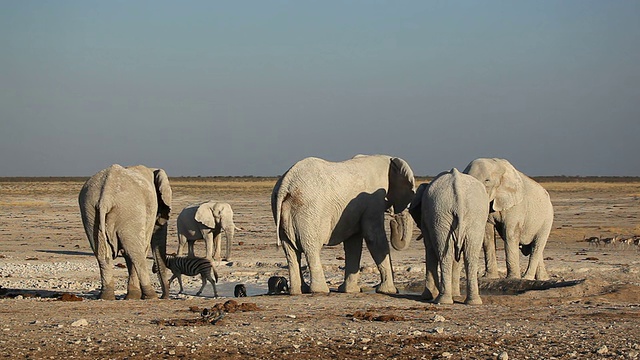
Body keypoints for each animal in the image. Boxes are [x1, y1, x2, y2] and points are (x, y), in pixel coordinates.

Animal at [78, 165, 172, 300]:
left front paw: (132, 296)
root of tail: (106, 196)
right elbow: (140, 248)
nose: (163, 297)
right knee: (135, 253)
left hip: (89, 210)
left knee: (101, 253)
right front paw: (135, 296)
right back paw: (151, 296)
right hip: (130, 210)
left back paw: (106, 297)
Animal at [270, 153, 416, 294]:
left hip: (283, 212)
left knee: (290, 251)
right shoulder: (374, 201)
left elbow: (353, 243)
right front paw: (389, 291)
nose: (393, 221)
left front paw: (350, 291)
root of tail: (285, 184)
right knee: (311, 248)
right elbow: (374, 238)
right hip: (309, 212)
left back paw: (298, 291)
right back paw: (321, 290)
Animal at [410, 169, 490, 304]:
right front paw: (455, 295)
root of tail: (459, 199)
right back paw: (472, 301)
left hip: (441, 213)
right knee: (469, 255)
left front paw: (427, 296)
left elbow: (430, 250)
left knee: (445, 255)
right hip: (470, 216)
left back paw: (442, 300)